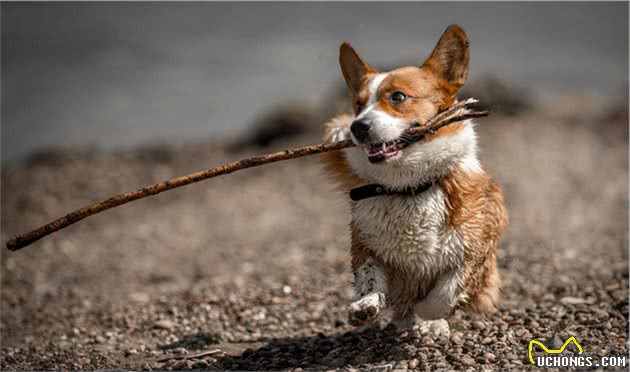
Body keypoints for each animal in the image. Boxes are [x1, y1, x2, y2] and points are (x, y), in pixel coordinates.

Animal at [324, 24, 512, 326]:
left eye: (398, 97)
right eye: (358, 105)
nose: (357, 127)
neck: (408, 187)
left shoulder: (472, 254)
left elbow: (443, 295)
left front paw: (429, 318)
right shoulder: (366, 247)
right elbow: (369, 277)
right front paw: (364, 305)